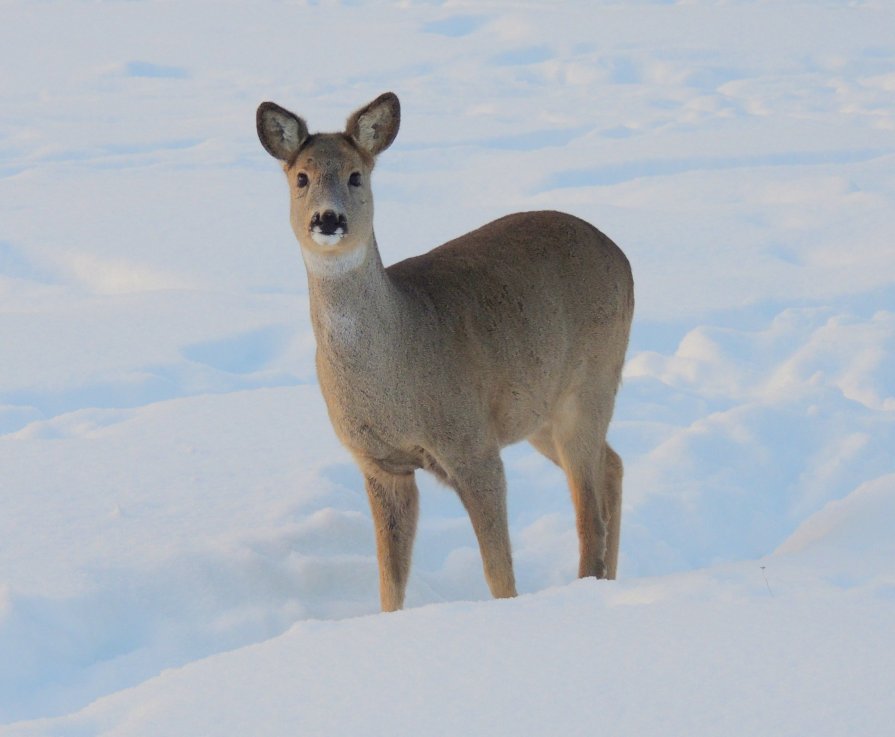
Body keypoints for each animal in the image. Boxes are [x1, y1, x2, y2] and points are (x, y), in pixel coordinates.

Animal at [258, 92, 636, 608]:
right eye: (302, 177)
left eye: (357, 175)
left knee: (589, 515)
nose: (328, 218)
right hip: (539, 411)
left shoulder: (471, 445)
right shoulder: (380, 463)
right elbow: (390, 582)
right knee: (612, 465)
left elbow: (499, 574)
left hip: (591, 382)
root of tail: (622, 257)